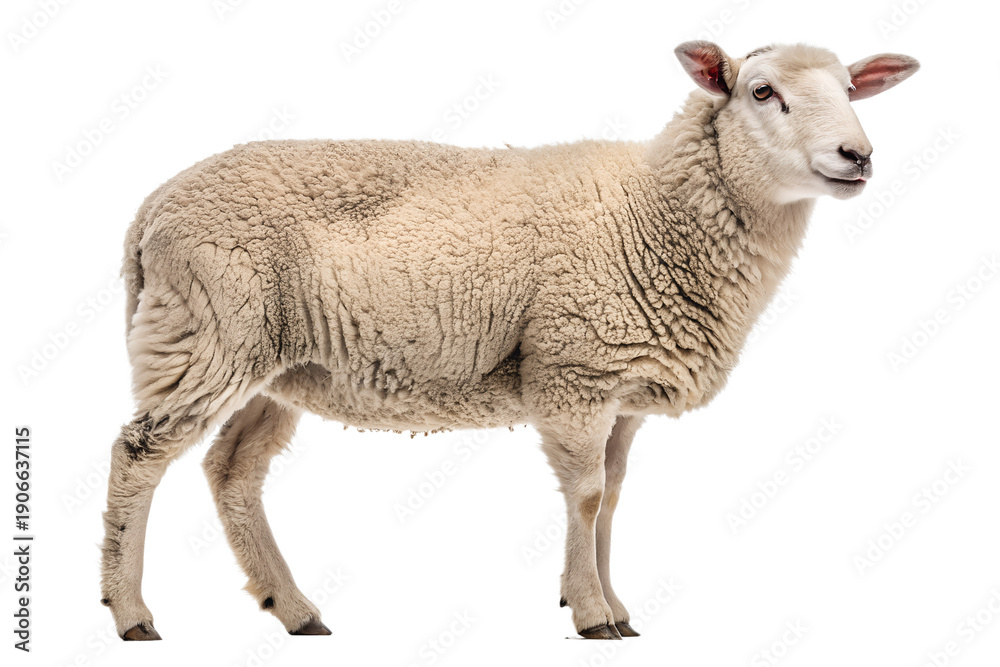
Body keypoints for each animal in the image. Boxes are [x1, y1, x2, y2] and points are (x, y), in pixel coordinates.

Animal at [100, 41, 919, 641]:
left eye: (851, 87)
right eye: (761, 91)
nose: (857, 156)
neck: (656, 213)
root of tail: (150, 208)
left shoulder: (622, 392)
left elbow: (613, 498)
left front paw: (614, 604)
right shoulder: (573, 368)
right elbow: (586, 497)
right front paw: (591, 613)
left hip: (276, 361)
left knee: (232, 470)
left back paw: (295, 610)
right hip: (208, 330)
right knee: (139, 454)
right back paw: (131, 612)